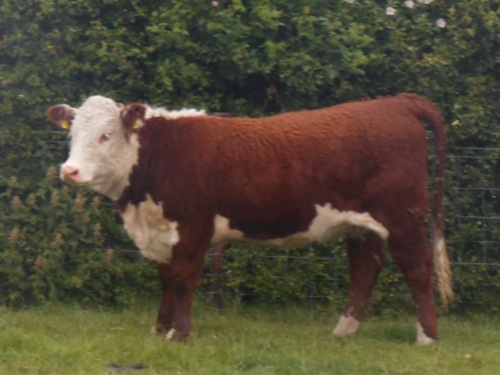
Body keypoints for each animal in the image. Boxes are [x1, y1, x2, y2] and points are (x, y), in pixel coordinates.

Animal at [47, 93, 454, 344]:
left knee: (417, 267)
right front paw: (159, 328)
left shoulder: (192, 229)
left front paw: (179, 334)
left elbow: (182, 280)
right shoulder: (161, 231)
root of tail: (395, 102)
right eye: (72, 135)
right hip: (360, 224)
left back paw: (427, 337)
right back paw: (343, 331)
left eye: (106, 135)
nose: (70, 171)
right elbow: (165, 280)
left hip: (402, 216)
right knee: (365, 268)